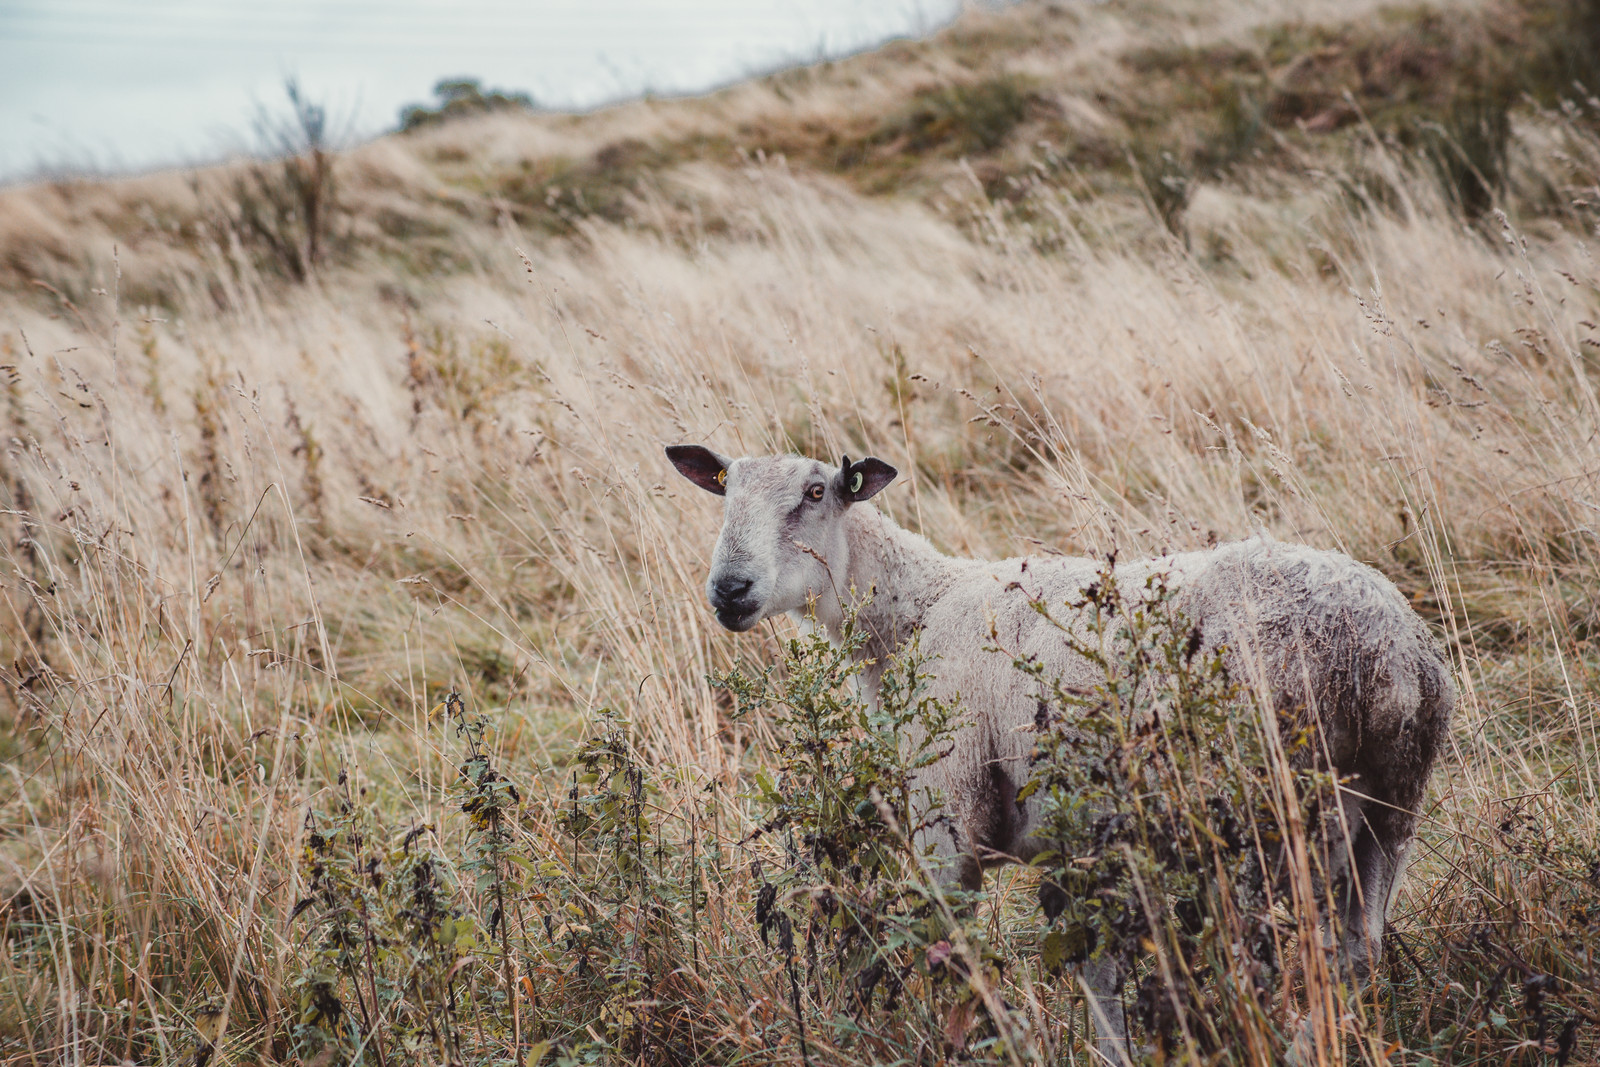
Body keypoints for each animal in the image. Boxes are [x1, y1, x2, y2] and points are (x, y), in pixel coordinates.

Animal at [668, 444, 1459, 1062]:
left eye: (814, 493)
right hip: (1393, 805)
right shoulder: (1073, 848)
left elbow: (959, 963)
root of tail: (1386, 655)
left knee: (1276, 962)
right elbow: (1099, 975)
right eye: (725, 493)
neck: (913, 610)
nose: (729, 589)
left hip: (1264, 815)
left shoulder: (948, 820)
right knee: (1357, 952)